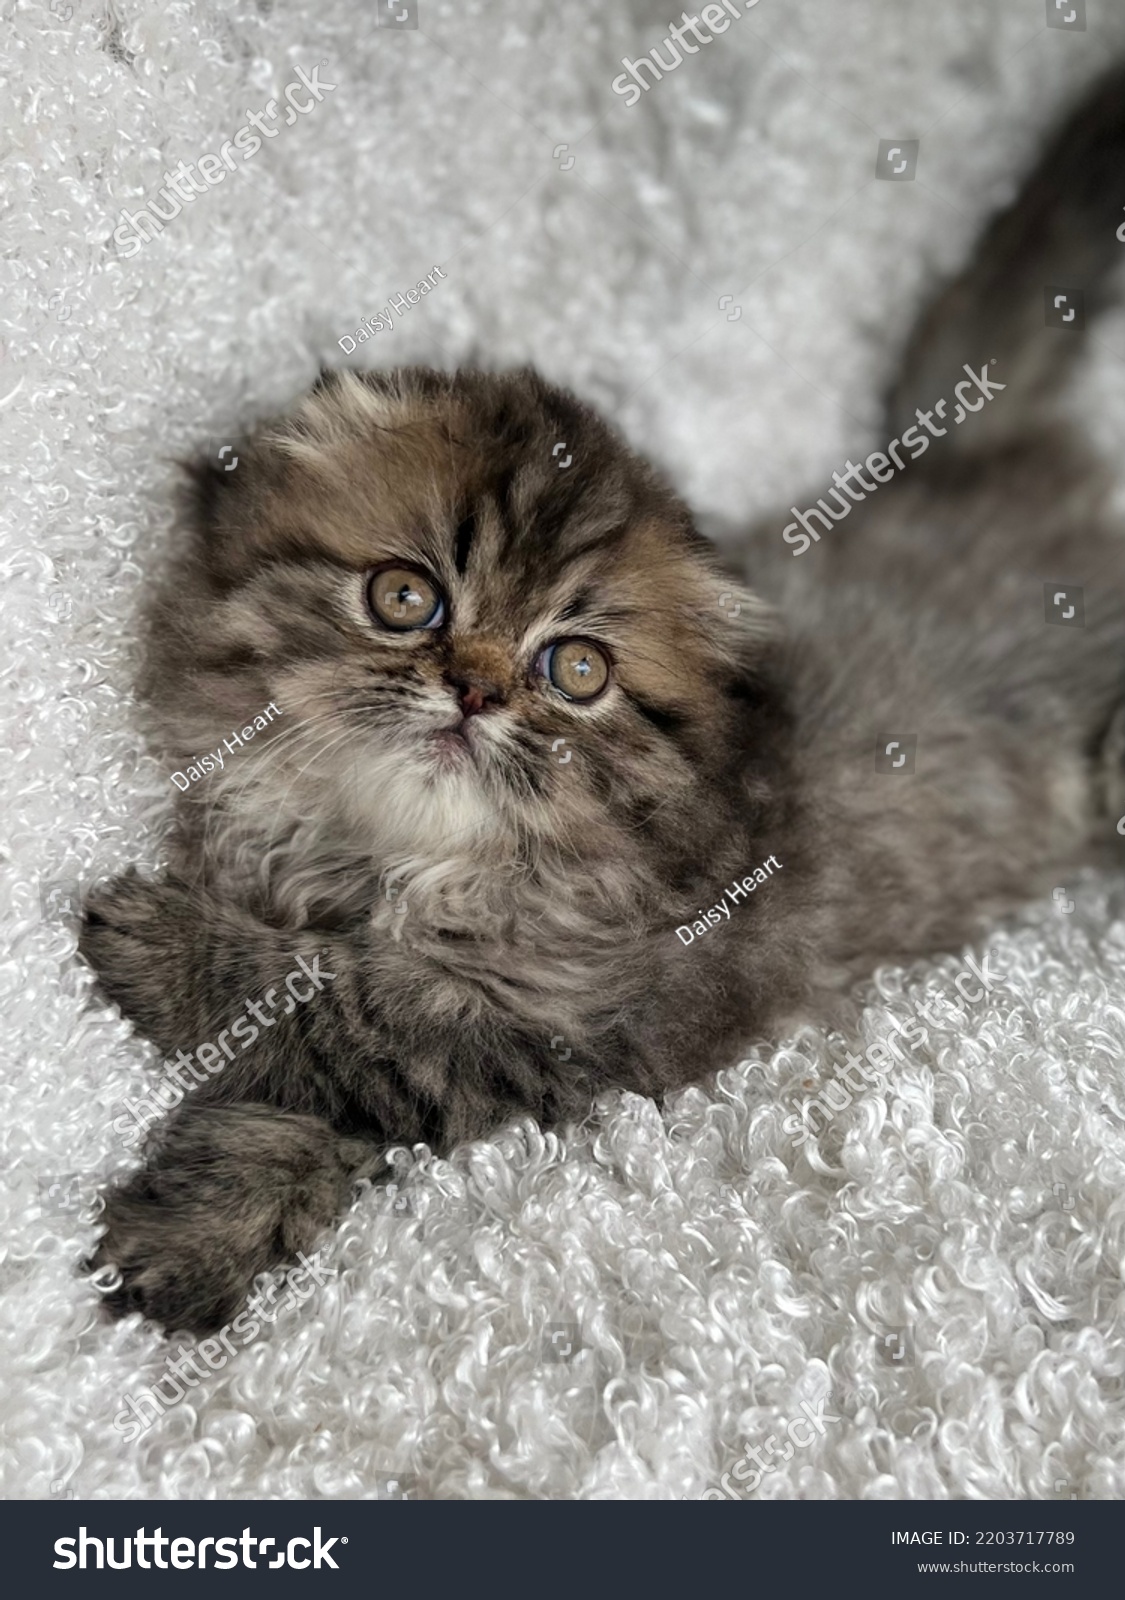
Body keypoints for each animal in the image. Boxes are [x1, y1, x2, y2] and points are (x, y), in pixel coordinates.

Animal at [81, 65, 1125, 1337]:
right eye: (405, 597)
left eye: (574, 671)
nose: (475, 690)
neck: (385, 862)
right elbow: (298, 1108)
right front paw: (197, 1231)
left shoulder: (571, 1026)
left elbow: (336, 1009)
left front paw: (164, 949)